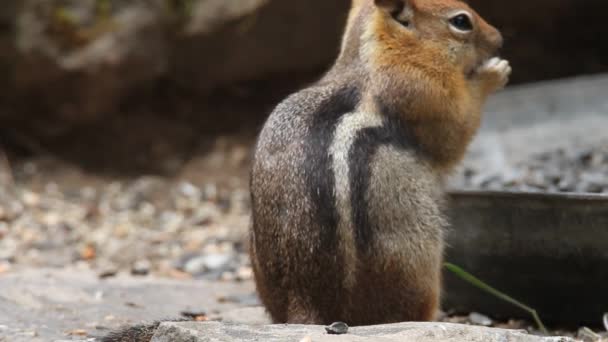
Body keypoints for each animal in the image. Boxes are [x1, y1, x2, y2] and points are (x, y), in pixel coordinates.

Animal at [249, 0, 510, 326]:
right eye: (461, 21)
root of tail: (306, 302)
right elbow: (458, 130)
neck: (366, 58)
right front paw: (494, 73)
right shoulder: (425, 93)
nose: (499, 38)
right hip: (415, 259)